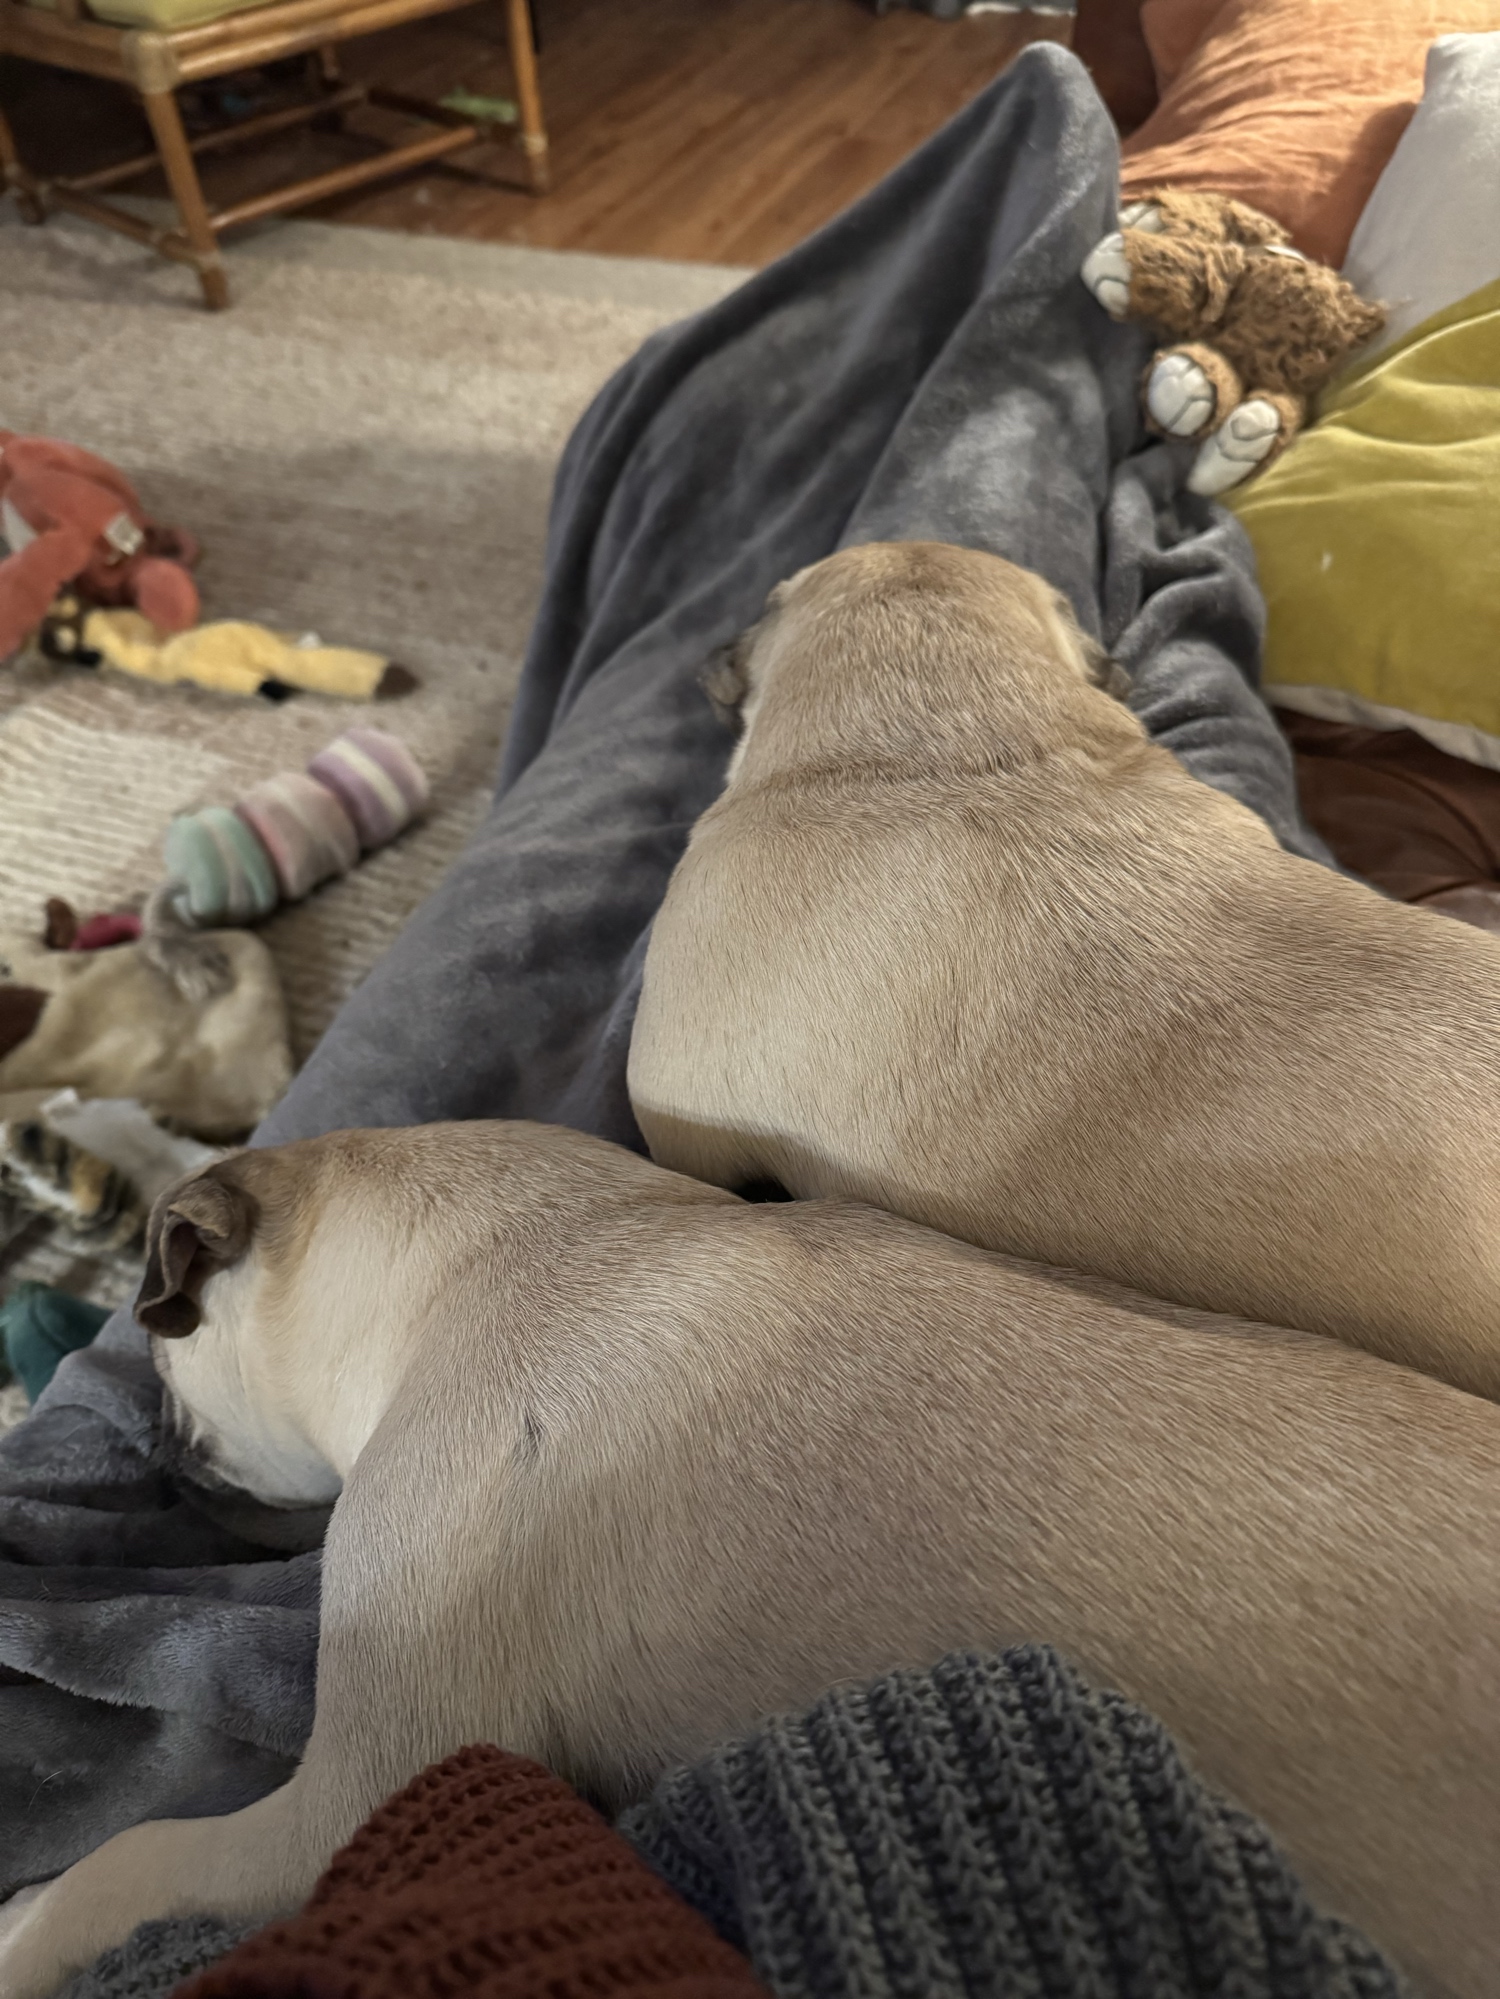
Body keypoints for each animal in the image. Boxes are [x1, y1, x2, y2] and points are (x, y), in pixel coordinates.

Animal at [1, 1121, 1495, 1997]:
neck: (501, 1244)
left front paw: (19, 1927)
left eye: (166, 1353)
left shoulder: (359, 1792)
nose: (158, 1450)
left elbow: (119, 1866)